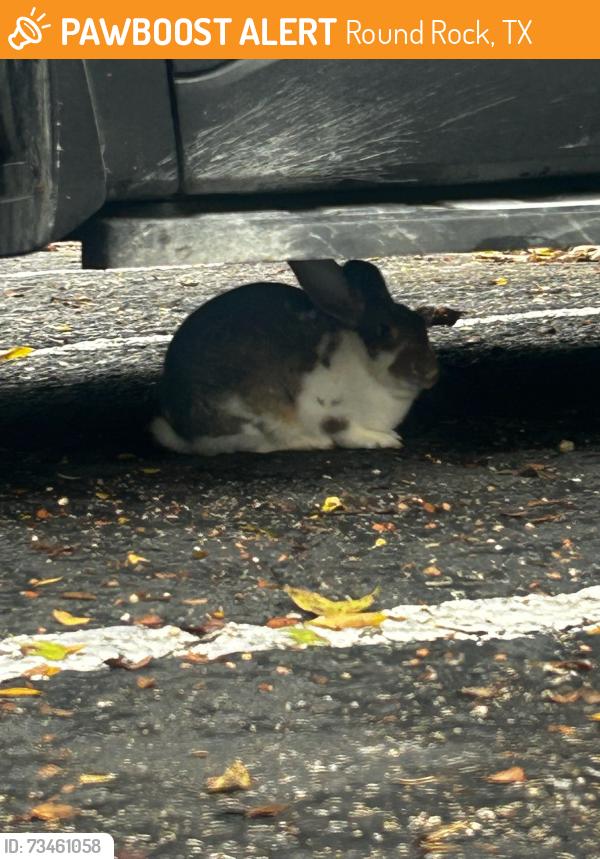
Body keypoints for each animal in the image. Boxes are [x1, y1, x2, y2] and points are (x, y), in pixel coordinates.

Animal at [151, 259, 439, 455]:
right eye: (385, 330)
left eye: (420, 323)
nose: (431, 373)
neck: (366, 367)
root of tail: (184, 433)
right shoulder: (329, 411)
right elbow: (346, 431)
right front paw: (384, 440)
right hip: (250, 415)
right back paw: (310, 442)